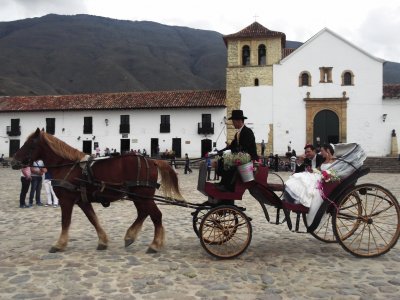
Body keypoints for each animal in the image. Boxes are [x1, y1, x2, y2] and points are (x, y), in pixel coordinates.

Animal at [10, 129, 183, 253]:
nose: (13, 161)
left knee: (156, 215)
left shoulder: (66, 201)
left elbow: (65, 222)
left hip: (143, 195)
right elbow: (93, 219)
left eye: (29, 144)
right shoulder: (82, 201)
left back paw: (154, 245)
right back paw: (130, 236)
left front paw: (59, 244)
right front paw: (102, 241)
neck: (66, 165)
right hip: (138, 196)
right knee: (143, 213)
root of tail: (152, 160)